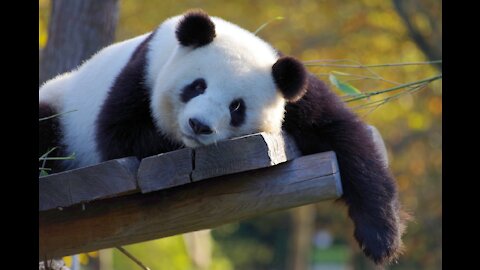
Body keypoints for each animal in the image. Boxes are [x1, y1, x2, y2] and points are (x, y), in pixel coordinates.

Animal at [39, 9, 408, 264]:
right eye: (197, 85)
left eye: (237, 107)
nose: (199, 125)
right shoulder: (141, 73)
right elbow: (119, 135)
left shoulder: (291, 90)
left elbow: (344, 135)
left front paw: (382, 239)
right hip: (61, 108)